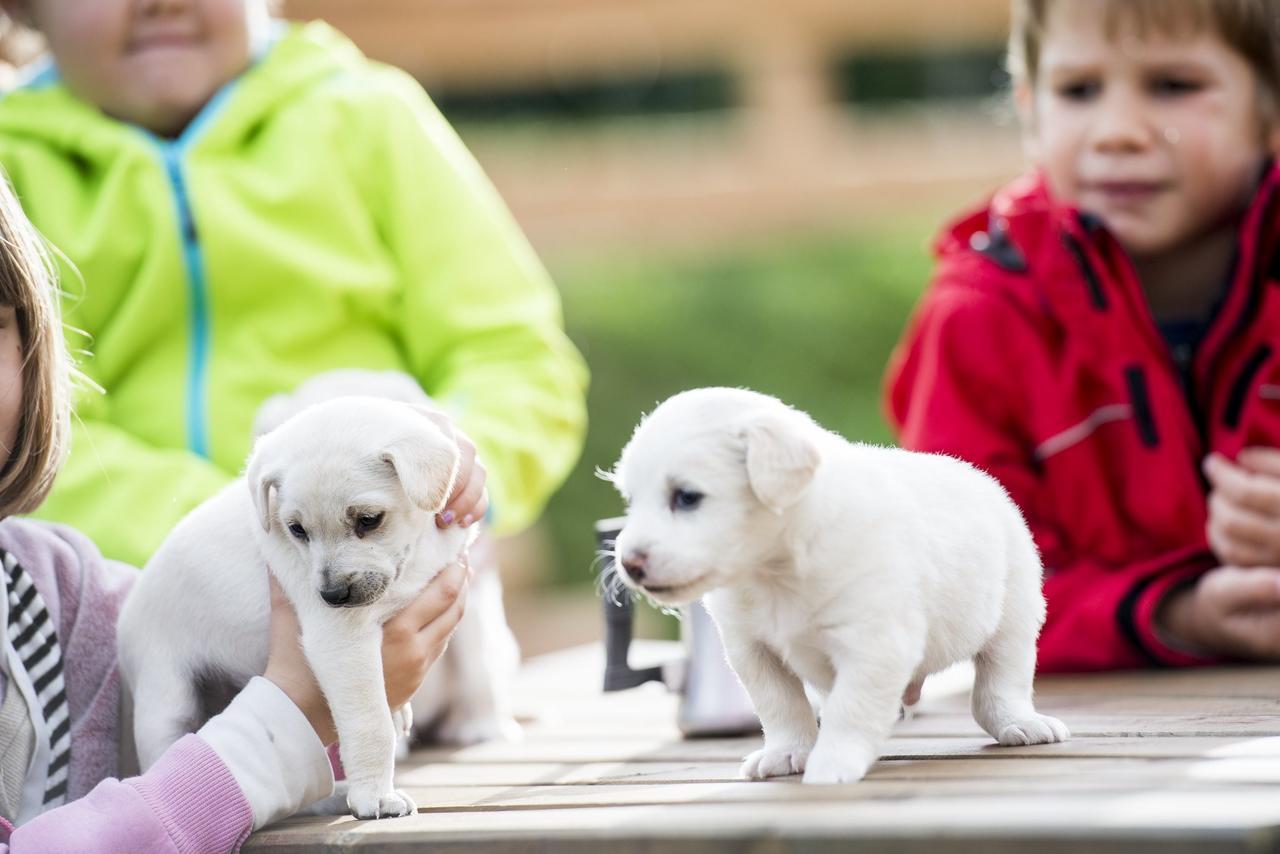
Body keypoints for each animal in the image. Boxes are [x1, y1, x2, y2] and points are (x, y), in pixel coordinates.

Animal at [609, 391, 1070, 783]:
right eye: (632, 500)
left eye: (686, 497)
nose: (628, 564)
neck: (773, 572)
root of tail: (974, 474)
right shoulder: (753, 652)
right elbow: (781, 707)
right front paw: (786, 752)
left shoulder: (873, 645)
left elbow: (851, 710)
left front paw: (831, 763)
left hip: (1014, 619)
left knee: (1000, 684)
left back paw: (1020, 723)